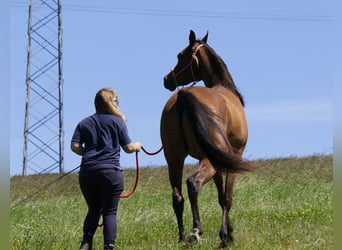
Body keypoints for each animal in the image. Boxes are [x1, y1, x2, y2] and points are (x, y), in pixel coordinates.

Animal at [160, 29, 254, 248]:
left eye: (180, 55)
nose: (167, 80)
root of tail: (184, 95)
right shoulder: (233, 156)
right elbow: (227, 198)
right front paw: (226, 237)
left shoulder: (220, 162)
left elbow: (220, 196)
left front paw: (227, 234)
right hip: (207, 159)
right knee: (193, 184)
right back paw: (196, 231)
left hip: (174, 158)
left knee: (177, 197)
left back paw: (181, 238)